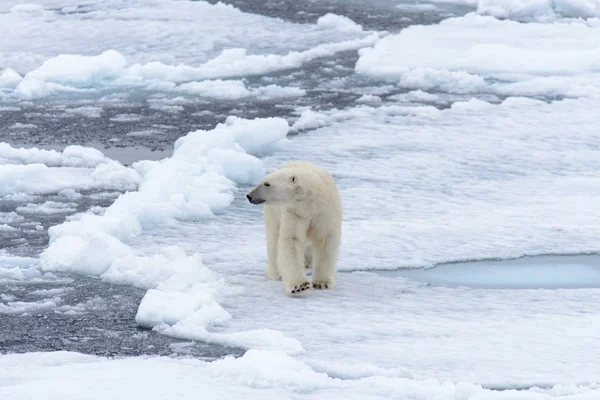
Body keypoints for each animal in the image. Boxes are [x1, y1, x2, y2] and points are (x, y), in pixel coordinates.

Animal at [245, 161, 340, 296]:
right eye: (263, 181)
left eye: (267, 183)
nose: (249, 196)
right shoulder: (294, 212)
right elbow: (292, 239)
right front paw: (300, 286)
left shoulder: (324, 211)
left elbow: (325, 240)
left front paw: (322, 283)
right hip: (273, 213)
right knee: (273, 240)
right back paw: (276, 273)